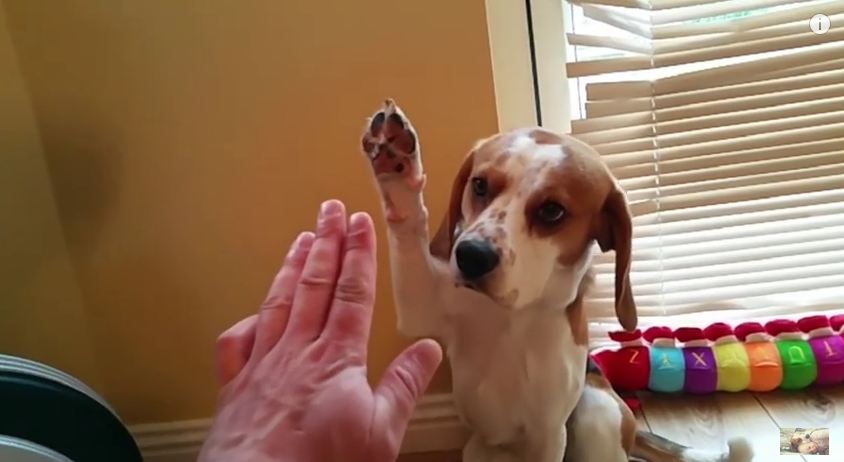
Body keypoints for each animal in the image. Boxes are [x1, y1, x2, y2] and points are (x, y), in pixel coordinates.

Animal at [360, 100, 756, 462]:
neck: (511, 316)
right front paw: (394, 160)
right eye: (479, 185)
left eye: (552, 211)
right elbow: (407, 223)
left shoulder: (548, 435)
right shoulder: (422, 304)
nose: (471, 256)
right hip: (477, 449)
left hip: (597, 412)